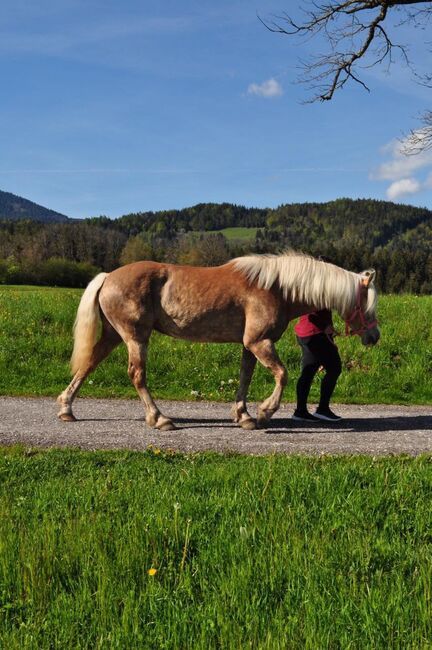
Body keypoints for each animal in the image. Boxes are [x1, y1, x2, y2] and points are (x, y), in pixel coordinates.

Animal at [56, 253, 378, 430]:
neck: (275, 288)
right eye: (367, 304)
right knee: (136, 374)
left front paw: (244, 415)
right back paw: (159, 419)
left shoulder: (250, 345)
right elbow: (282, 375)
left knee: (88, 364)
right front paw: (265, 413)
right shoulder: (260, 342)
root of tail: (108, 276)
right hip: (136, 337)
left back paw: (66, 409)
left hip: (113, 336)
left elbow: (245, 378)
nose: (374, 337)